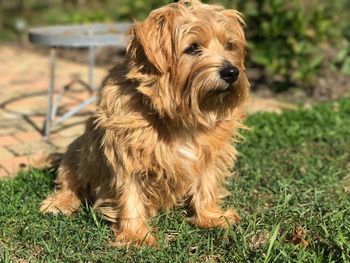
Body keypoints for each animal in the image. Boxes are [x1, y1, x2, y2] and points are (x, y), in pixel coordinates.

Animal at [40, 0, 249, 248]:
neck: (178, 117)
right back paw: (60, 203)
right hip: (76, 152)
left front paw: (211, 217)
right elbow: (129, 193)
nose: (231, 72)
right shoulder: (124, 153)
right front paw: (136, 235)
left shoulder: (210, 152)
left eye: (229, 45)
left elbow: (206, 184)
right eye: (192, 48)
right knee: (71, 182)